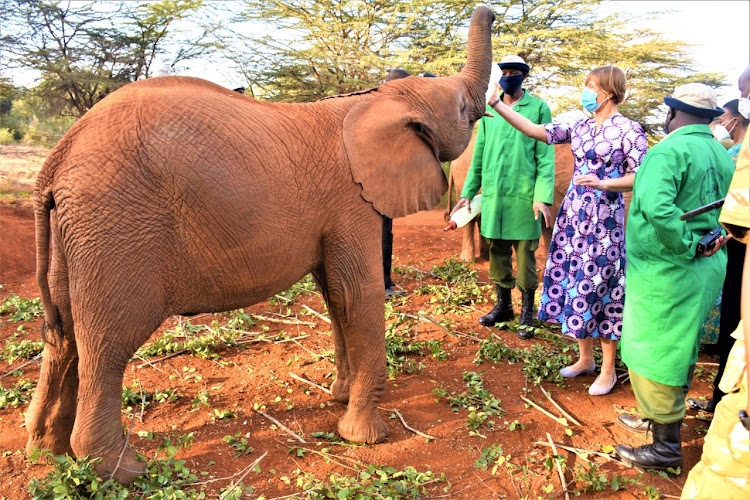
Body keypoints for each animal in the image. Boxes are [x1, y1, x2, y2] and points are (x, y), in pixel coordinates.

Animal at [26, 6, 500, 484]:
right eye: (462, 109)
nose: (493, 12)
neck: (374, 98)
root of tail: (58, 157)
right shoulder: (352, 198)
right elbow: (357, 294)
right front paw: (365, 438)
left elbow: (335, 297)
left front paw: (339, 396)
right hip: (115, 227)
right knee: (107, 346)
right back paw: (122, 470)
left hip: (77, 233)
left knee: (62, 336)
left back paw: (47, 452)